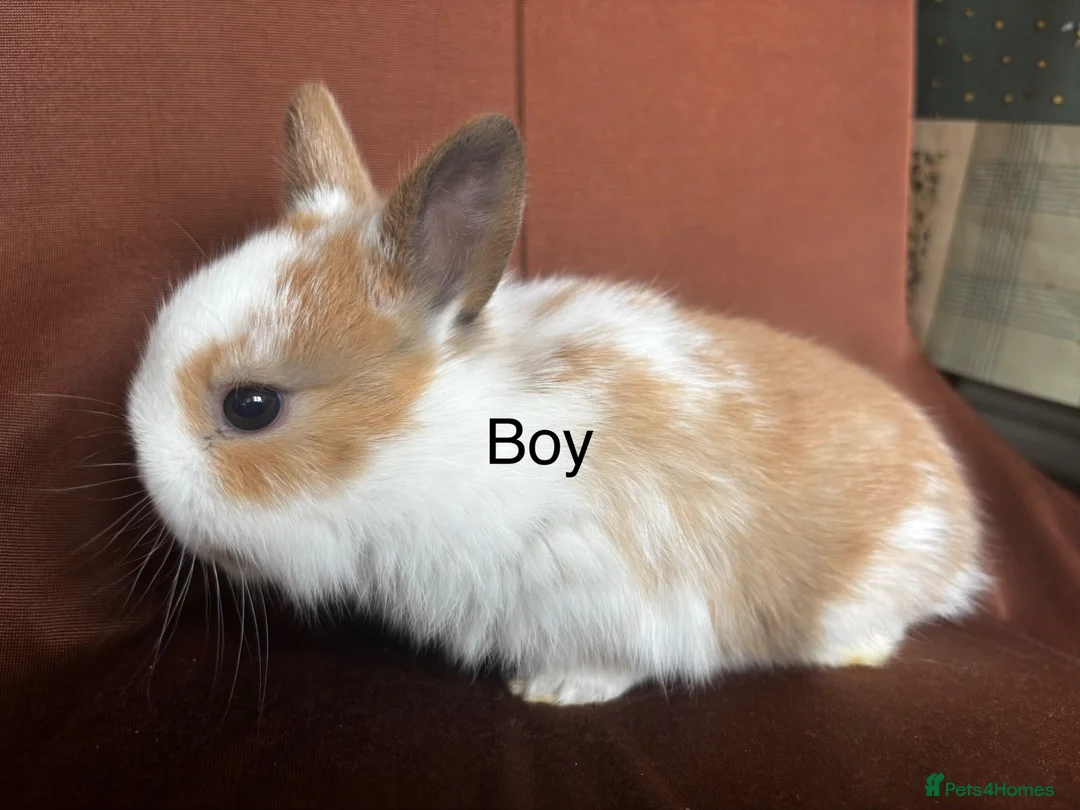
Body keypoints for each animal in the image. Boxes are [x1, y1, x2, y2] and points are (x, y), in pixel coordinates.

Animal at [127, 83, 991, 706]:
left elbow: (620, 658)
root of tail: (960, 512)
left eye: (251, 407)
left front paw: (554, 691)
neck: (429, 444)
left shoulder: (618, 589)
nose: (151, 488)